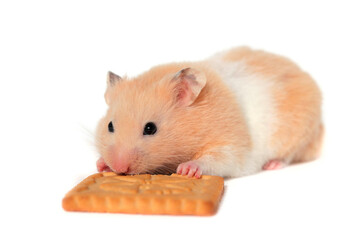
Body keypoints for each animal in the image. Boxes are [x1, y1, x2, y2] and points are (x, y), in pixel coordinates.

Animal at [95, 46, 324, 178]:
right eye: (110, 126)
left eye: (150, 128)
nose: (119, 168)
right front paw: (101, 165)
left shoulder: (231, 146)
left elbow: (216, 159)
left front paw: (186, 169)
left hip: (301, 130)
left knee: (292, 154)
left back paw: (273, 165)